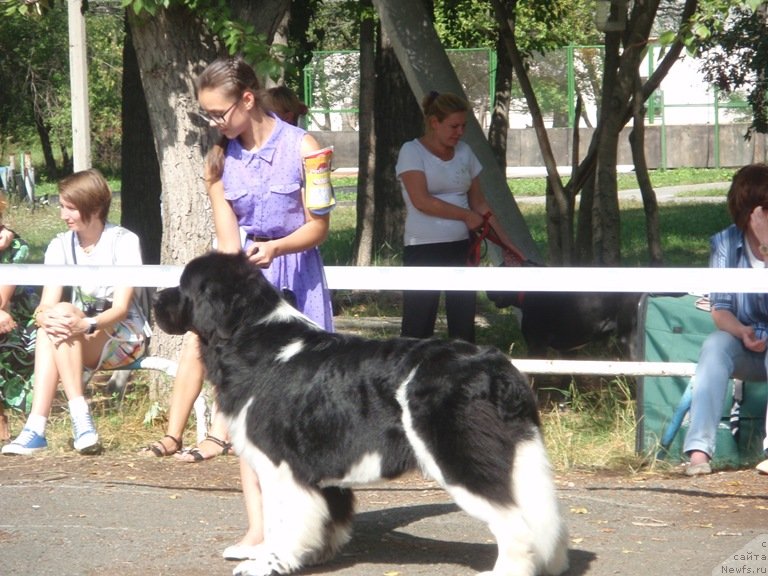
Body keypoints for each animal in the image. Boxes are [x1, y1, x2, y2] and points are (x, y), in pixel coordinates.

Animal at [153, 254, 568, 576]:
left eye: (182, 286)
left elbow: (281, 519)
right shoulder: (318, 461)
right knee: (544, 519)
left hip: (460, 457)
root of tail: (494, 365)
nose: (155, 295)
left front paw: (267, 561)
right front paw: (312, 554)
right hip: (515, 456)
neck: (247, 335)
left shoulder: (280, 465)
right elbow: (328, 513)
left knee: (515, 523)